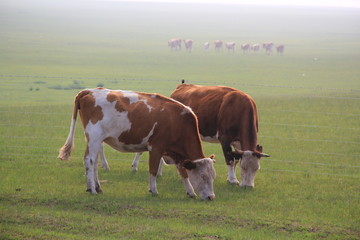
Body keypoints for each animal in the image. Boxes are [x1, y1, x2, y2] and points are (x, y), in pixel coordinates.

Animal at [58, 87, 217, 200]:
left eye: (213, 176)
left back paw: (97, 187)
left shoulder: (177, 154)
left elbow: (183, 172)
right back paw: (92, 189)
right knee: (89, 160)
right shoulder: (156, 148)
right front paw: (154, 190)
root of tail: (89, 91)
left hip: (96, 140)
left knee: (95, 162)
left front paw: (190, 192)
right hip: (94, 137)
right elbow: (153, 170)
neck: (177, 121)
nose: (211, 197)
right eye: (203, 176)